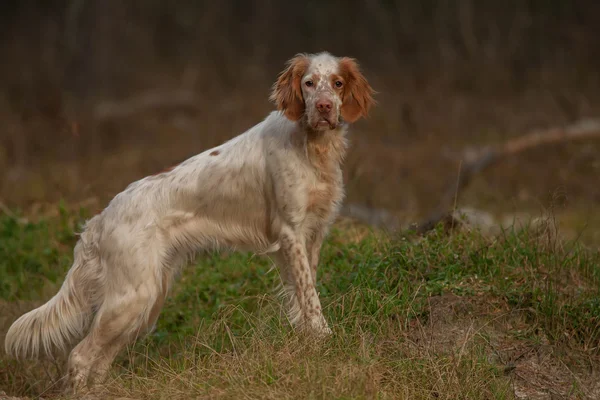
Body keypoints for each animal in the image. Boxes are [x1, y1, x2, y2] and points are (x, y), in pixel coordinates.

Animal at [4, 51, 376, 392]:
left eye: (337, 83)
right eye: (309, 83)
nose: (324, 107)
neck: (312, 145)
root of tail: (100, 219)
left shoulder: (311, 235)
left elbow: (302, 294)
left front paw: (308, 343)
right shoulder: (291, 232)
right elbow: (310, 297)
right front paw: (324, 338)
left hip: (144, 303)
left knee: (99, 358)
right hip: (131, 298)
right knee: (81, 356)